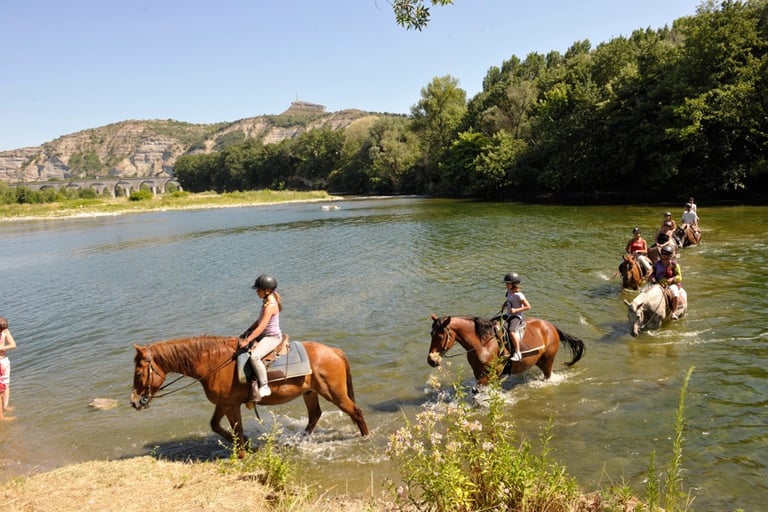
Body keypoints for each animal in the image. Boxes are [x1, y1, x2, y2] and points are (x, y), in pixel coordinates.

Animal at [131, 335, 369, 457]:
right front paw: (248, 446)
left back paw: (365, 438)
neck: (213, 363)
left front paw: (243, 454)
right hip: (310, 392)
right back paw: (298, 440)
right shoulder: (224, 404)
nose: (133, 401)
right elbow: (216, 426)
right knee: (315, 415)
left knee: (355, 412)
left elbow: (235, 430)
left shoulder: (230, 405)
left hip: (334, 392)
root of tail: (334, 351)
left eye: (139, 372)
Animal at [427, 314, 585, 386]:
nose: (431, 361)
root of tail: (552, 327)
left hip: (548, 360)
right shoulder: (478, 372)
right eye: (431, 334)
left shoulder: (491, 374)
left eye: (440, 336)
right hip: (539, 360)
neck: (483, 344)